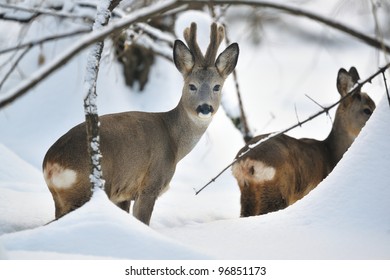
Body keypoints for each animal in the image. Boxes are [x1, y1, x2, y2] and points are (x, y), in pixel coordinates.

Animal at [42, 22, 238, 225]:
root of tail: (52, 163)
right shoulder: (150, 185)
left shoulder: (124, 193)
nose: (205, 107)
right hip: (91, 188)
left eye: (217, 86)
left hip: (65, 198)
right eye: (192, 86)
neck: (174, 142)